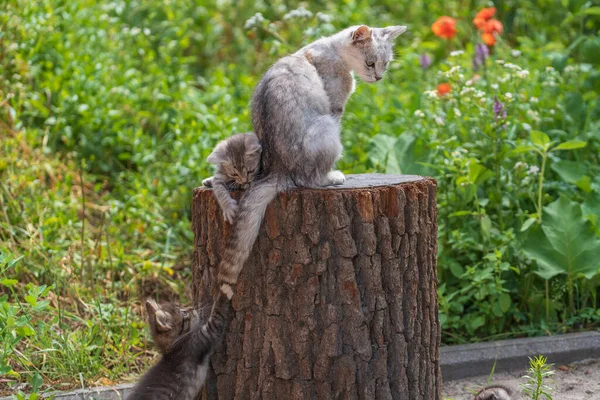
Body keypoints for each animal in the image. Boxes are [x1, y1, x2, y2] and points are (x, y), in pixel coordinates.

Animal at [216, 24, 408, 284]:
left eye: (385, 64)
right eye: (370, 63)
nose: (378, 77)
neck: (331, 49)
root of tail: (278, 171)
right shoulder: (335, 109)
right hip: (327, 130)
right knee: (310, 179)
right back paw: (333, 177)